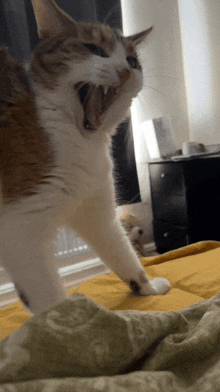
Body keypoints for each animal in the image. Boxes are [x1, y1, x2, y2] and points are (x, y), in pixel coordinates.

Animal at [0, 0, 170, 314]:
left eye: (133, 62)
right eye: (95, 49)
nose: (125, 71)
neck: (80, 140)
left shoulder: (96, 208)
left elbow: (121, 251)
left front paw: (149, 288)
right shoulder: (21, 230)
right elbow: (50, 300)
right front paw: (73, 324)